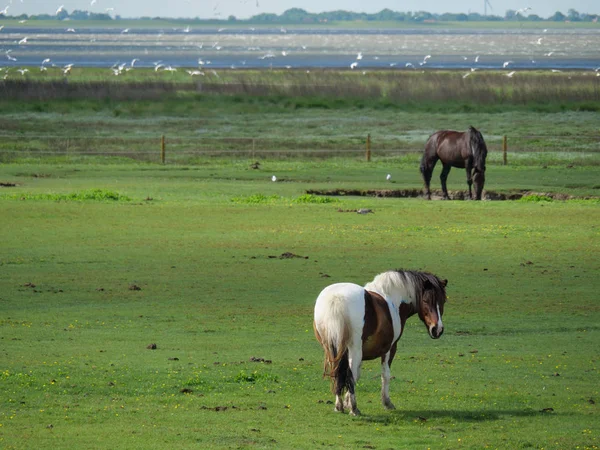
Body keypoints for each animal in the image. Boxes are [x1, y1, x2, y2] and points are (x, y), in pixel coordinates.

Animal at [314, 268, 446, 416]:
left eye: (442, 301)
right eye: (426, 300)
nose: (437, 329)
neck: (392, 299)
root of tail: (336, 299)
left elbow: (355, 375)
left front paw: (346, 402)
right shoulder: (390, 348)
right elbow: (385, 375)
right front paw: (387, 402)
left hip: (332, 348)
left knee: (337, 372)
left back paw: (339, 406)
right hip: (354, 350)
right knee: (349, 374)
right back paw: (354, 409)